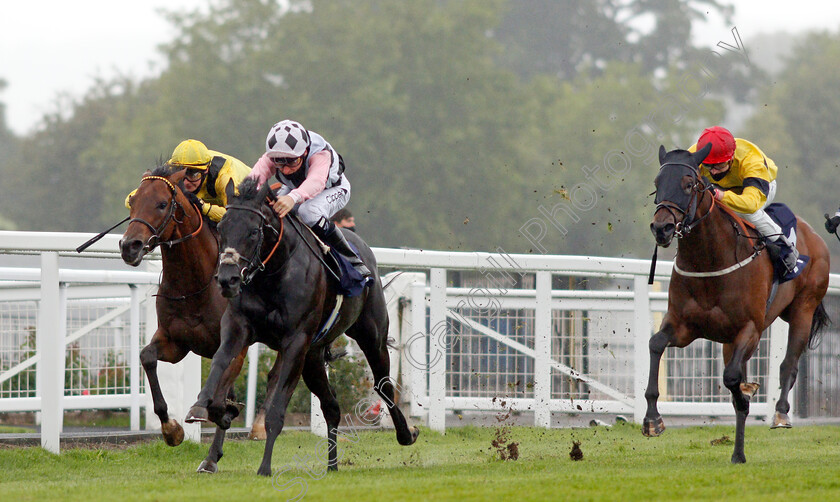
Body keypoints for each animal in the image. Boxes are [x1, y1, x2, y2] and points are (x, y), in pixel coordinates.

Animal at [186, 178, 416, 476]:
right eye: (222, 228)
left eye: (253, 232)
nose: (227, 279)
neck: (274, 272)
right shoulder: (238, 326)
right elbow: (220, 362)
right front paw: (205, 408)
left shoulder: (295, 342)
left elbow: (276, 411)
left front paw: (265, 467)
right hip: (313, 358)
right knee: (332, 406)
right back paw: (332, 465)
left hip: (371, 336)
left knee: (383, 385)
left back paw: (406, 434)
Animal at [648, 143, 832, 464]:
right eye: (658, 183)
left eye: (689, 184)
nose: (662, 228)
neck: (709, 260)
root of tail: (814, 234)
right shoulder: (683, 327)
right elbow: (656, 344)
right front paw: (652, 420)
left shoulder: (750, 329)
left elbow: (733, 379)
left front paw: (746, 396)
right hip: (728, 340)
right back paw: (738, 452)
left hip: (804, 308)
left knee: (789, 364)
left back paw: (780, 414)